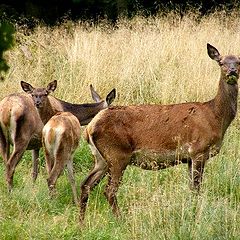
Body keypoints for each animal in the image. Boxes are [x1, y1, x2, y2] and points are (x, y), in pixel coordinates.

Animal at [79, 43, 239, 223]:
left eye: (238, 61)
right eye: (221, 62)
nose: (232, 71)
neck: (215, 118)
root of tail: (89, 128)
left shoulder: (188, 157)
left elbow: (192, 188)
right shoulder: (199, 150)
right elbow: (197, 188)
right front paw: (196, 214)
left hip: (101, 158)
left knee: (86, 184)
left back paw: (81, 222)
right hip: (117, 154)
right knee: (109, 190)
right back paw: (120, 220)